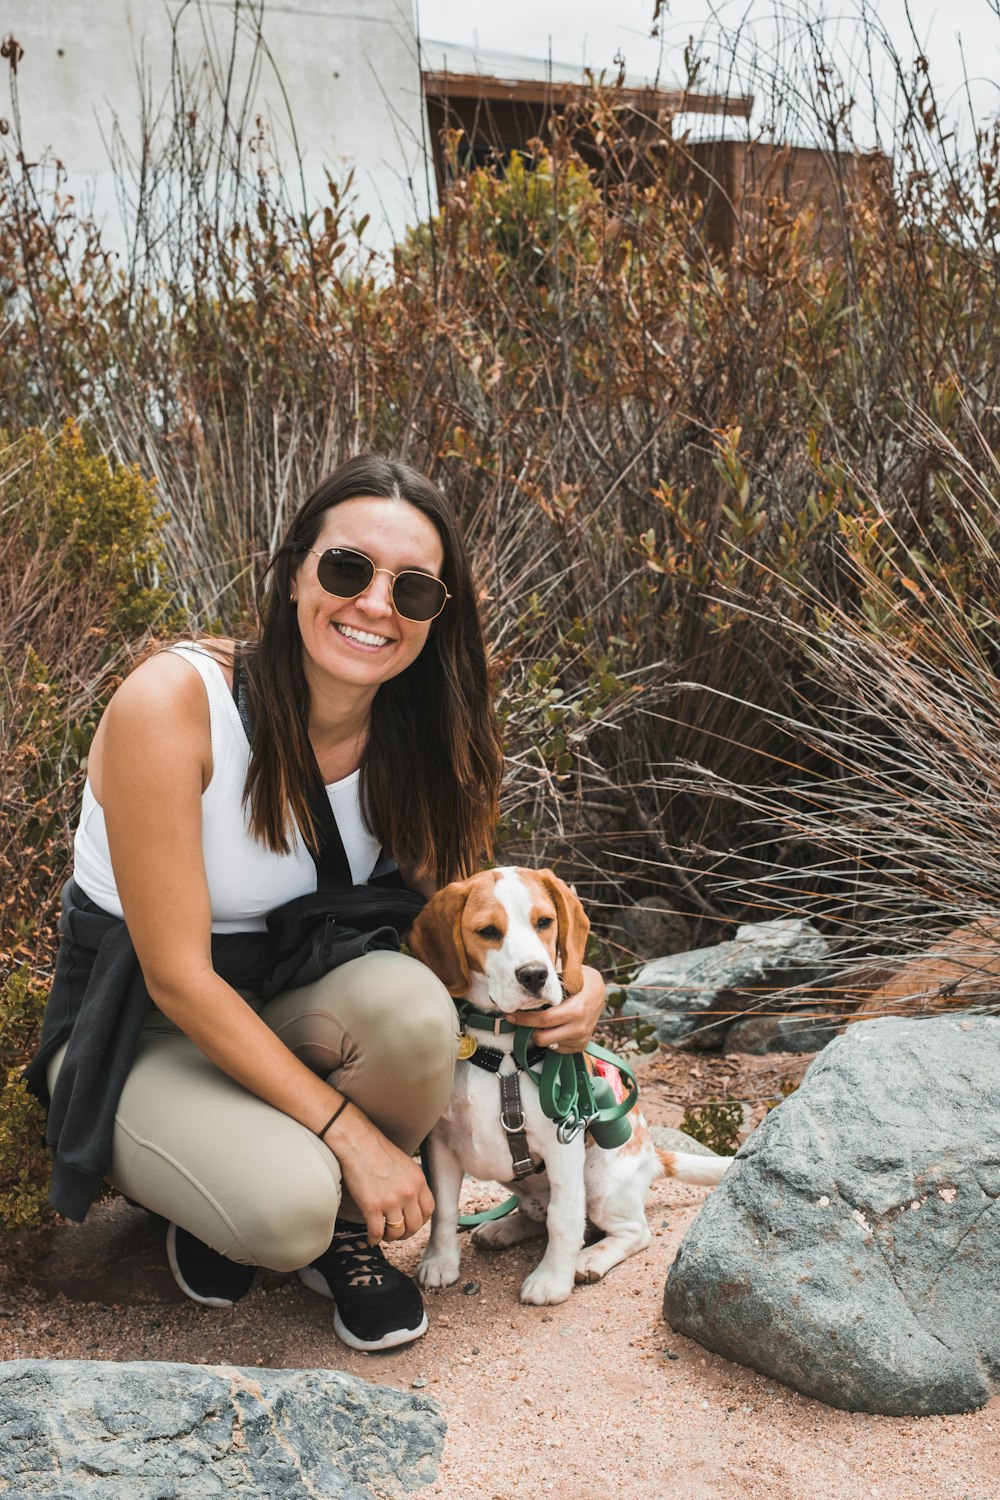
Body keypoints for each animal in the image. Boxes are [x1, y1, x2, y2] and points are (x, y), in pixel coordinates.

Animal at [407, 870, 734, 1302]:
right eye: (488, 931)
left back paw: (588, 1258)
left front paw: (552, 1280)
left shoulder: (562, 1145)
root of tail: (653, 1156)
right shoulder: (442, 1142)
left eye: (544, 922)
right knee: (536, 1214)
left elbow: (563, 1220)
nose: (535, 975)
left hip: (600, 1182)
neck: (502, 1048)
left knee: (631, 1231)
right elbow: (443, 1209)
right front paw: (441, 1261)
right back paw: (501, 1228)